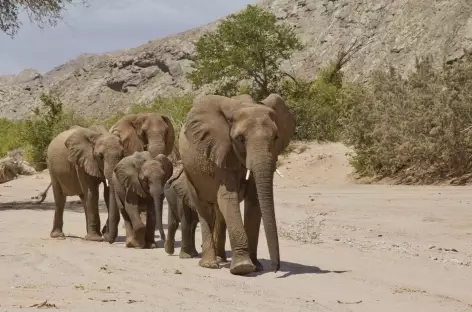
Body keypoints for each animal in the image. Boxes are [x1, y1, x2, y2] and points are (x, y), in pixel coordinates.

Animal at [178, 93, 296, 276]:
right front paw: (243, 268)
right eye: (240, 139)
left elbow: (254, 200)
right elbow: (228, 197)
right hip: (189, 171)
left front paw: (257, 267)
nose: (275, 269)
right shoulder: (221, 151)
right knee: (203, 208)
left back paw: (221, 259)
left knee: (219, 212)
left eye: (276, 138)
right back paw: (210, 264)